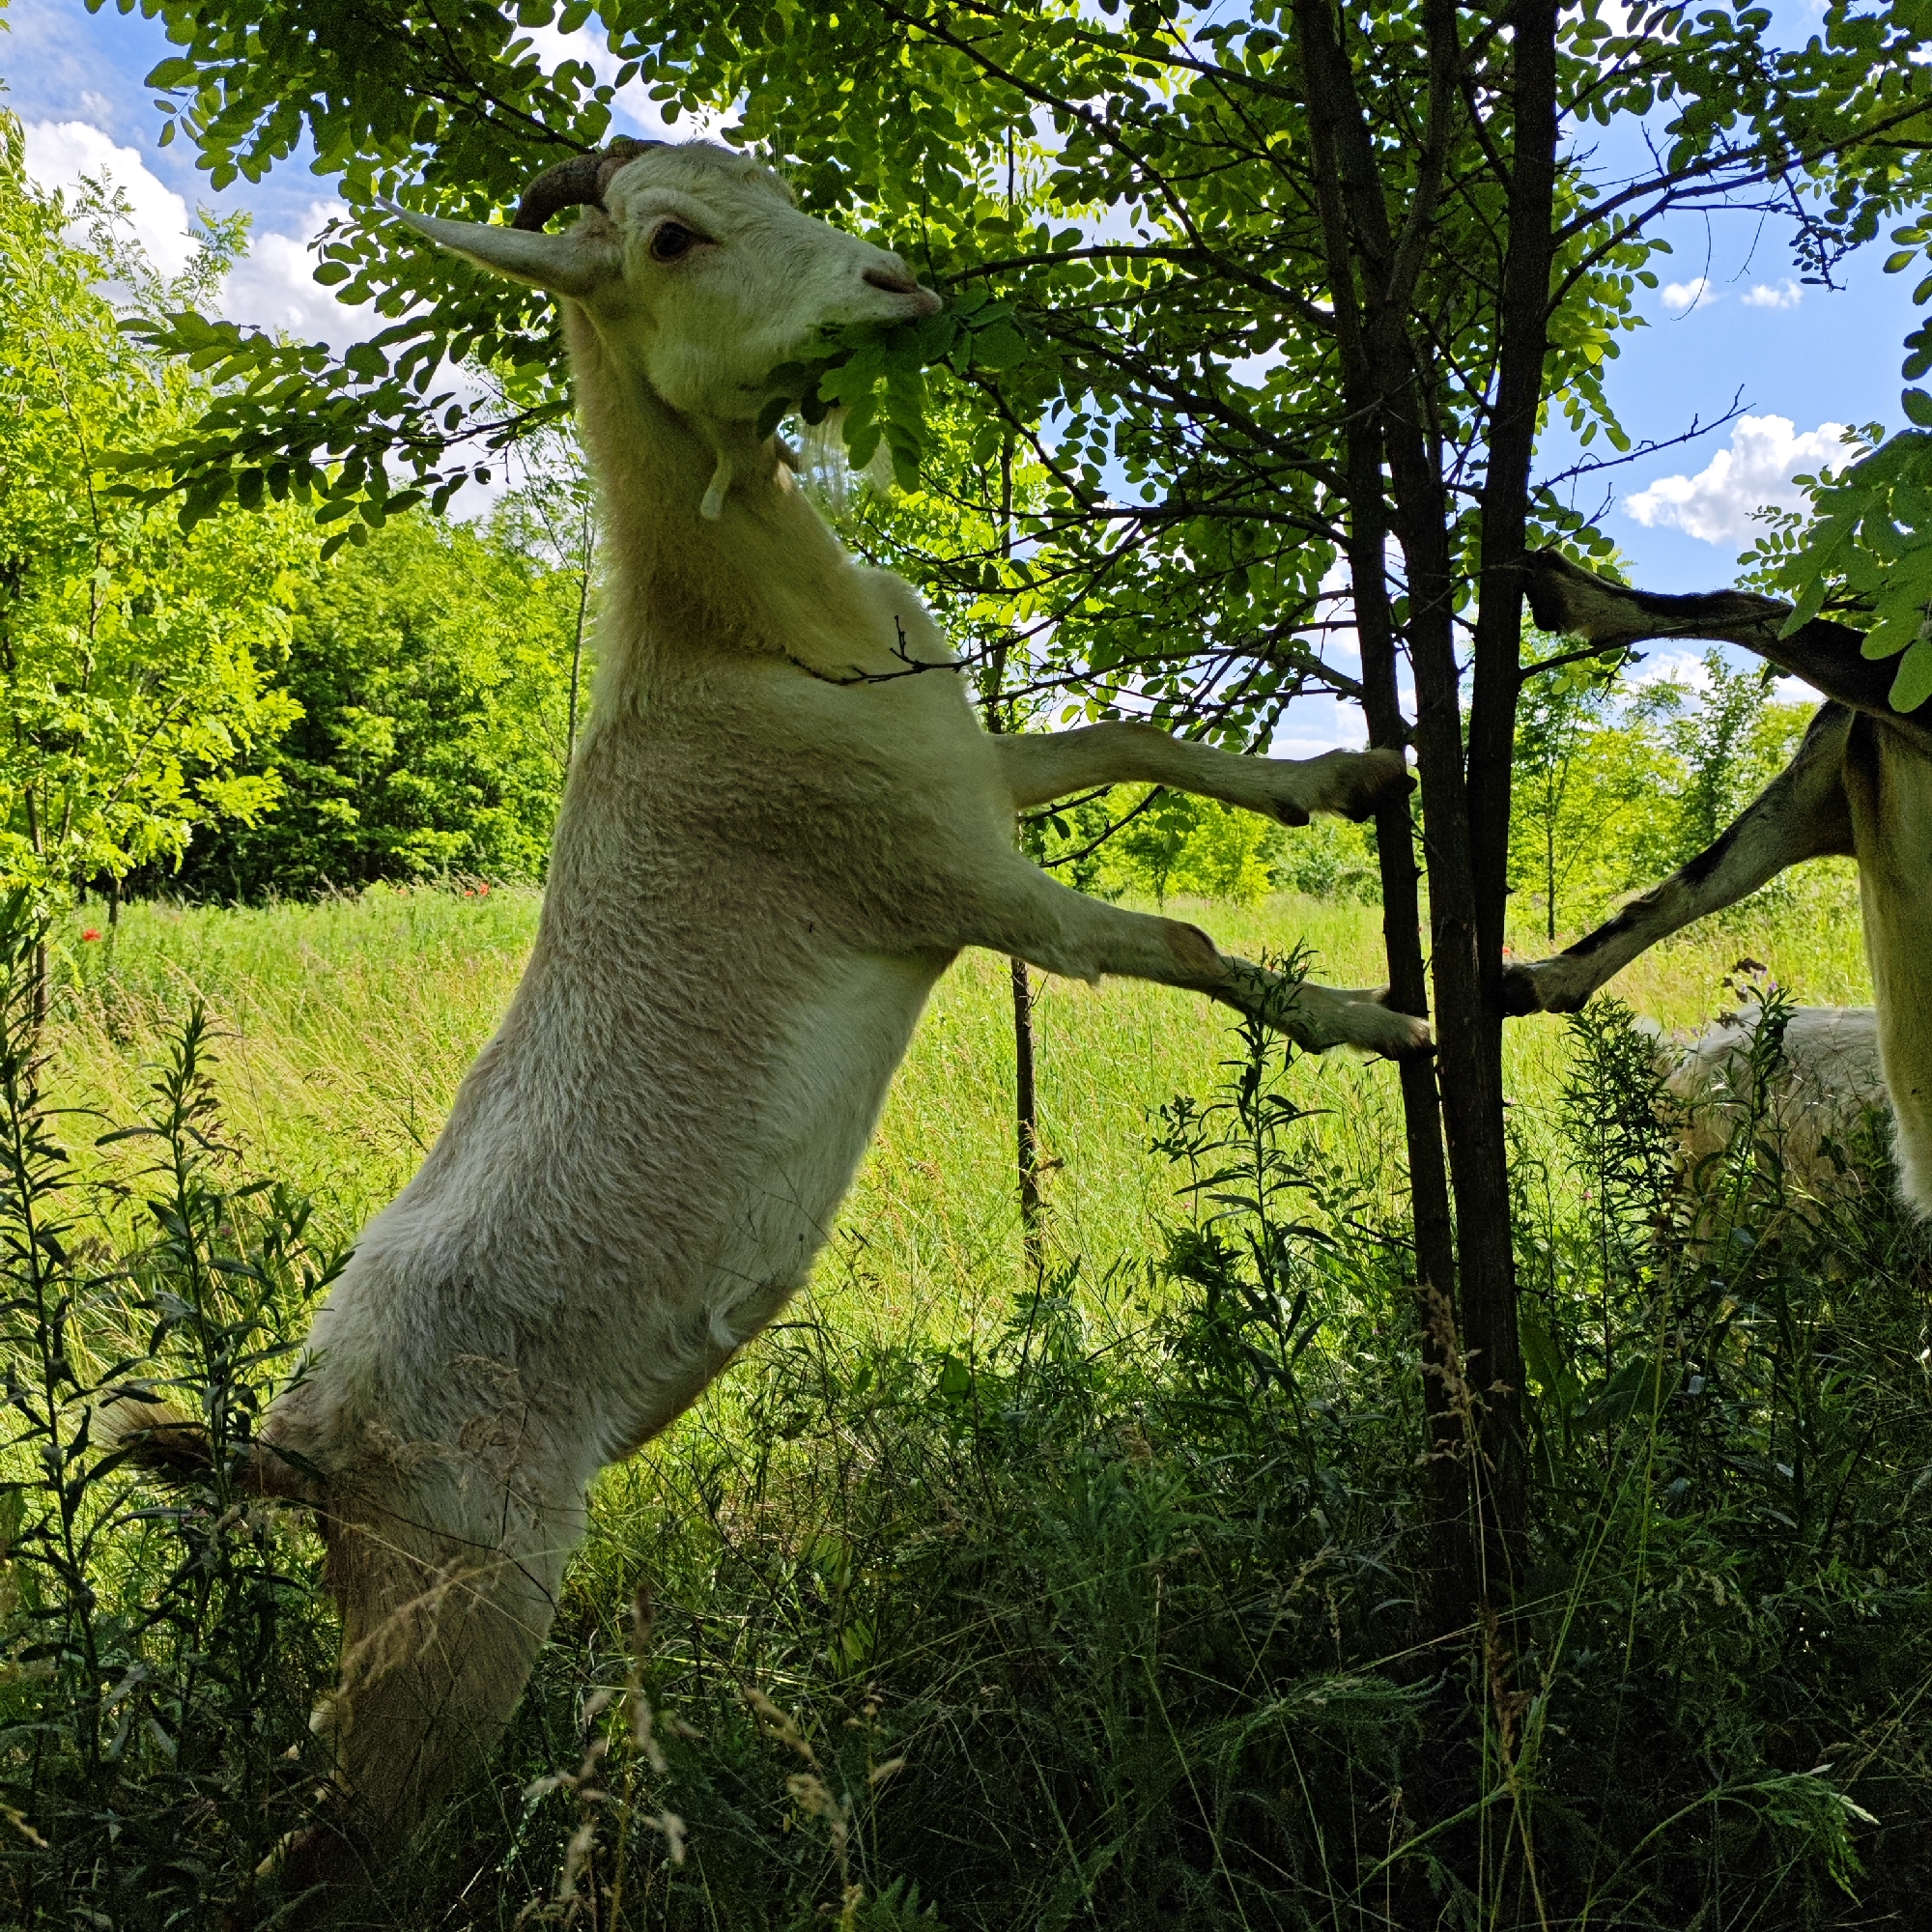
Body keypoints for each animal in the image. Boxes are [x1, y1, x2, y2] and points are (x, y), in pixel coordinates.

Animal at [112, 139, 1426, 1888]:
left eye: (769, 173)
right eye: (668, 237)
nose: (898, 285)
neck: (758, 647)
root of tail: (299, 1449)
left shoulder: (969, 772)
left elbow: (1136, 740)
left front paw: (1346, 777)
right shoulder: (959, 885)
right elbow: (1189, 941)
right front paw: (1396, 1024)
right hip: (456, 1615)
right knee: (331, 1852)